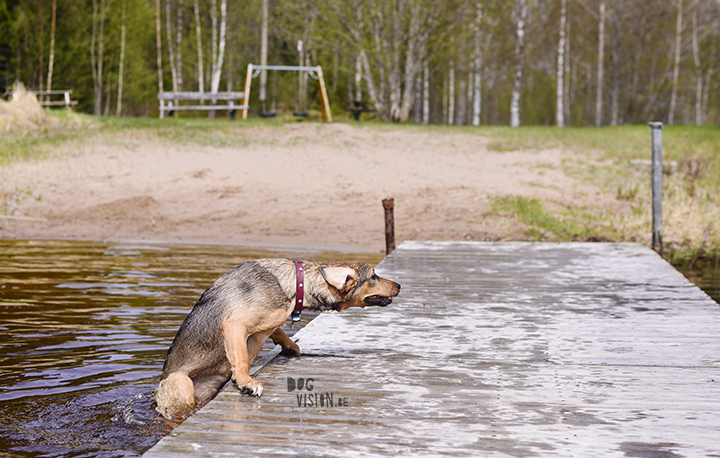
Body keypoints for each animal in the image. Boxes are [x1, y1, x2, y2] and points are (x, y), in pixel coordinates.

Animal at [154, 260, 400, 420]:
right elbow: (242, 359)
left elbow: (278, 331)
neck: (296, 285)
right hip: (182, 383)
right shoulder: (234, 325)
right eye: (373, 276)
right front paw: (246, 382)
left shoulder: (268, 322)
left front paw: (291, 346)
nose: (400, 285)